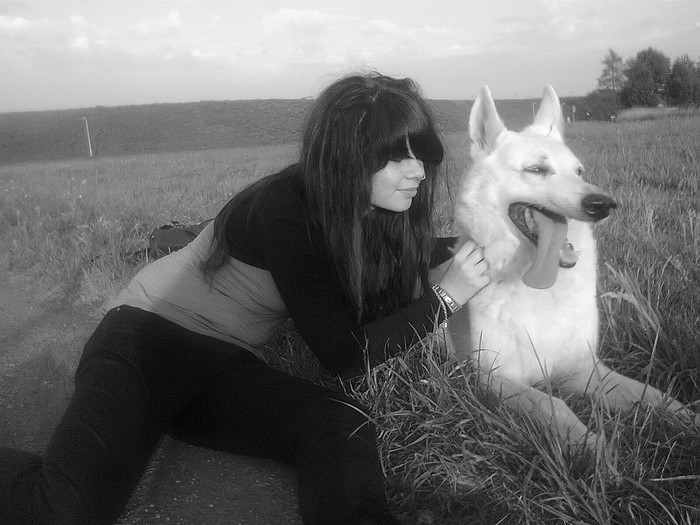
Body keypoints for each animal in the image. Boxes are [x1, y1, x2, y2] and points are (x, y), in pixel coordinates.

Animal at [442, 85, 698, 447]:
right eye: (536, 170)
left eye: (578, 172)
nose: (604, 204)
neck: (538, 287)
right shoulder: (496, 379)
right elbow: (553, 405)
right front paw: (595, 449)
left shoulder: (583, 368)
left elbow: (651, 395)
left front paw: (688, 419)